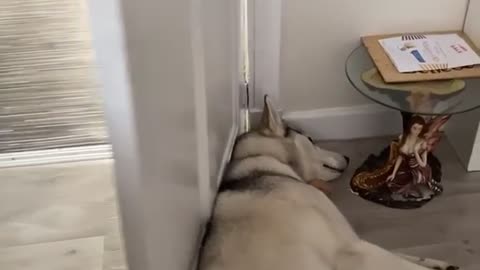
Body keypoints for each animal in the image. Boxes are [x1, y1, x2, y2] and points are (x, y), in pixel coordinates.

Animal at [198, 96, 458, 270]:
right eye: (311, 139)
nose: (347, 157)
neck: (263, 162)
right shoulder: (350, 247)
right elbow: (403, 263)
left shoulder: (354, 243)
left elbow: (405, 257)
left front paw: (438, 263)